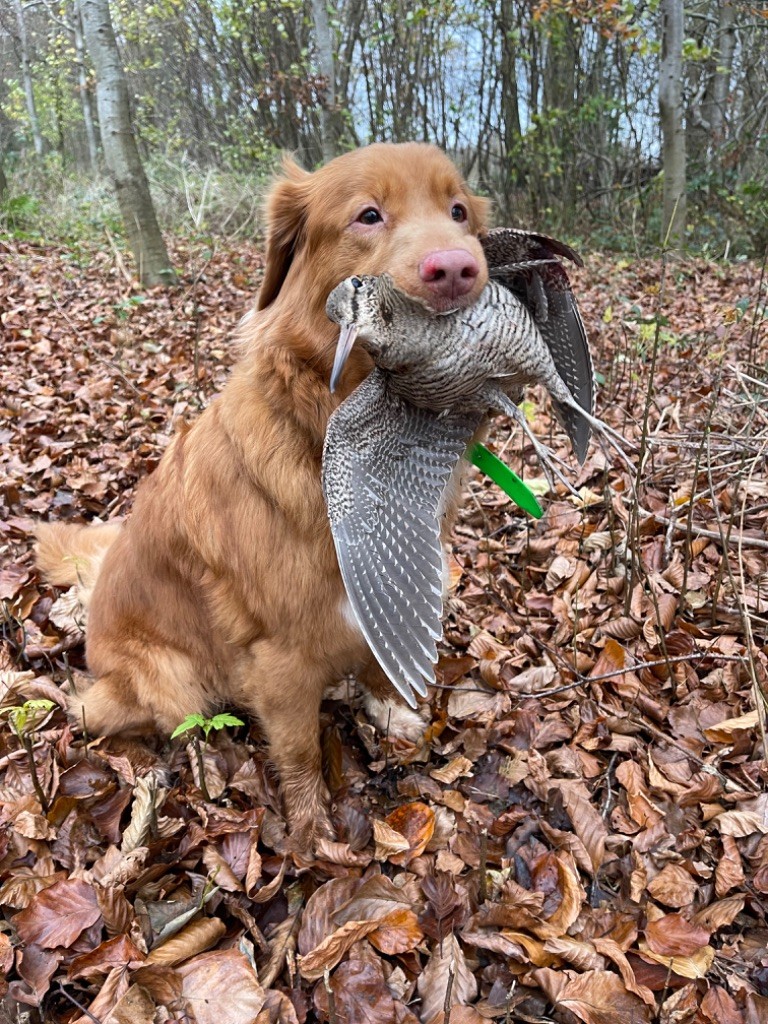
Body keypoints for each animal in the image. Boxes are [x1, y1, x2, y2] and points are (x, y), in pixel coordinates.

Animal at [36, 142, 489, 847]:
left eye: (459, 211)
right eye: (368, 215)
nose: (458, 269)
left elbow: (376, 661)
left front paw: (390, 711)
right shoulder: (279, 656)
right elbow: (299, 748)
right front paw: (312, 830)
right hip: (170, 677)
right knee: (101, 711)